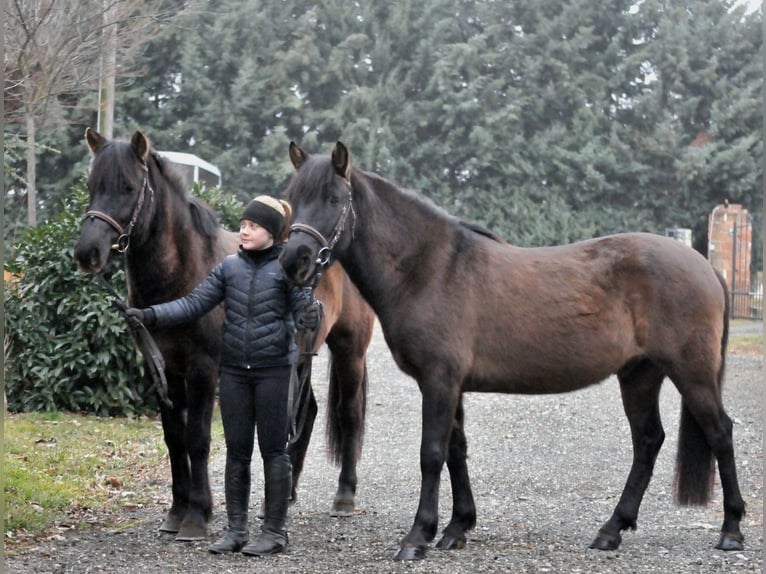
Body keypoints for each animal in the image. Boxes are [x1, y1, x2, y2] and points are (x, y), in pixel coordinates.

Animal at [74, 128, 376, 544]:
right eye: (91, 186)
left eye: (128, 187)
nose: (87, 252)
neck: (185, 271)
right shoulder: (164, 369)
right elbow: (175, 438)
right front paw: (176, 511)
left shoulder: (202, 369)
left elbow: (198, 438)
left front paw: (196, 516)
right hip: (300, 356)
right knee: (308, 413)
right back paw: (287, 494)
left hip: (349, 349)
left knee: (349, 412)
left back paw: (344, 497)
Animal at [280, 141, 748, 564]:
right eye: (292, 199)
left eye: (333, 198)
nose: (293, 260)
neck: (431, 268)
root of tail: (705, 266)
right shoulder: (452, 385)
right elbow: (456, 451)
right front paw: (457, 528)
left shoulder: (439, 380)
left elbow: (432, 454)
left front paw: (417, 537)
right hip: (639, 374)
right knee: (648, 441)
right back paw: (611, 530)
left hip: (691, 373)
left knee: (720, 433)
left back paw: (731, 530)